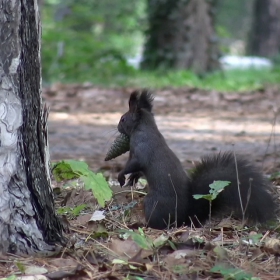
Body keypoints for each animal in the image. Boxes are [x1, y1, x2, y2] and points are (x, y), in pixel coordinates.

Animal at [116, 90, 276, 230]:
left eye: (123, 119)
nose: (117, 128)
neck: (144, 128)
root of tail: (184, 217)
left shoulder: (142, 150)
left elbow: (134, 164)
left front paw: (121, 176)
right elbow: (137, 170)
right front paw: (132, 179)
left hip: (153, 203)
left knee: (159, 223)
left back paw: (141, 225)